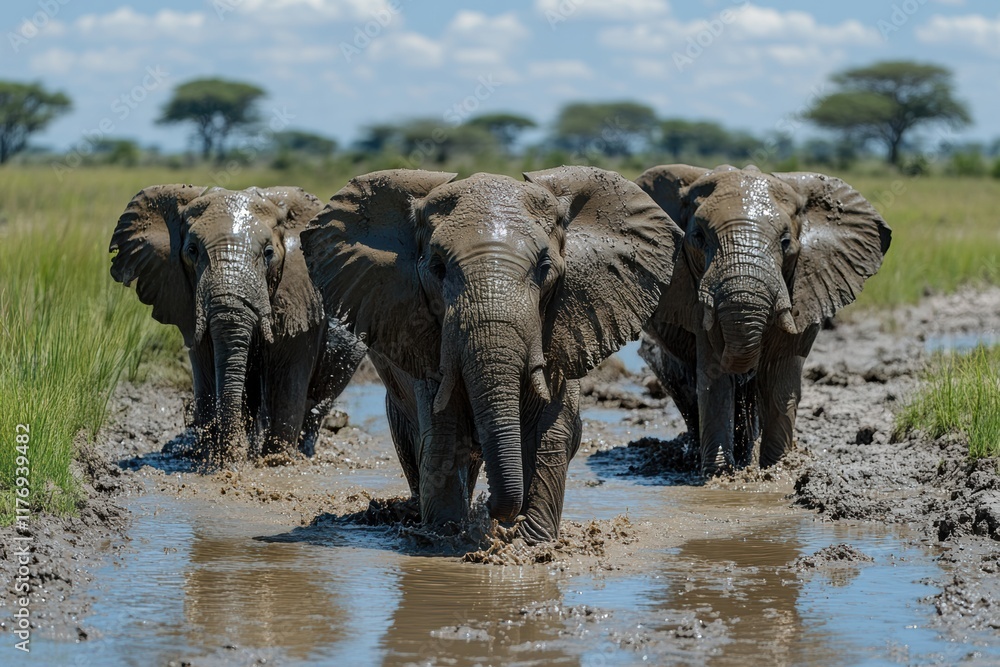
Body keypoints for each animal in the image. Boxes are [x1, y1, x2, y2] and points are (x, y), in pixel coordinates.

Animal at [109, 184, 366, 463]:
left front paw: (277, 461)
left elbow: (288, 377)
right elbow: (207, 372)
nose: (233, 457)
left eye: (268, 253)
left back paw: (302, 451)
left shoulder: (301, 301)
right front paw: (212, 458)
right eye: (192, 250)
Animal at [301, 167, 681, 542]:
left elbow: (549, 433)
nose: (491, 512)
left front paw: (529, 541)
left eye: (544, 266)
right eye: (437, 268)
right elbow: (443, 437)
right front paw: (448, 537)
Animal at [636, 164, 891, 475]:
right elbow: (713, 380)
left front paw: (775, 469)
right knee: (684, 385)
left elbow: (780, 376)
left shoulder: (804, 283)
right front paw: (720, 475)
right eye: (698, 236)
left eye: (785, 242)